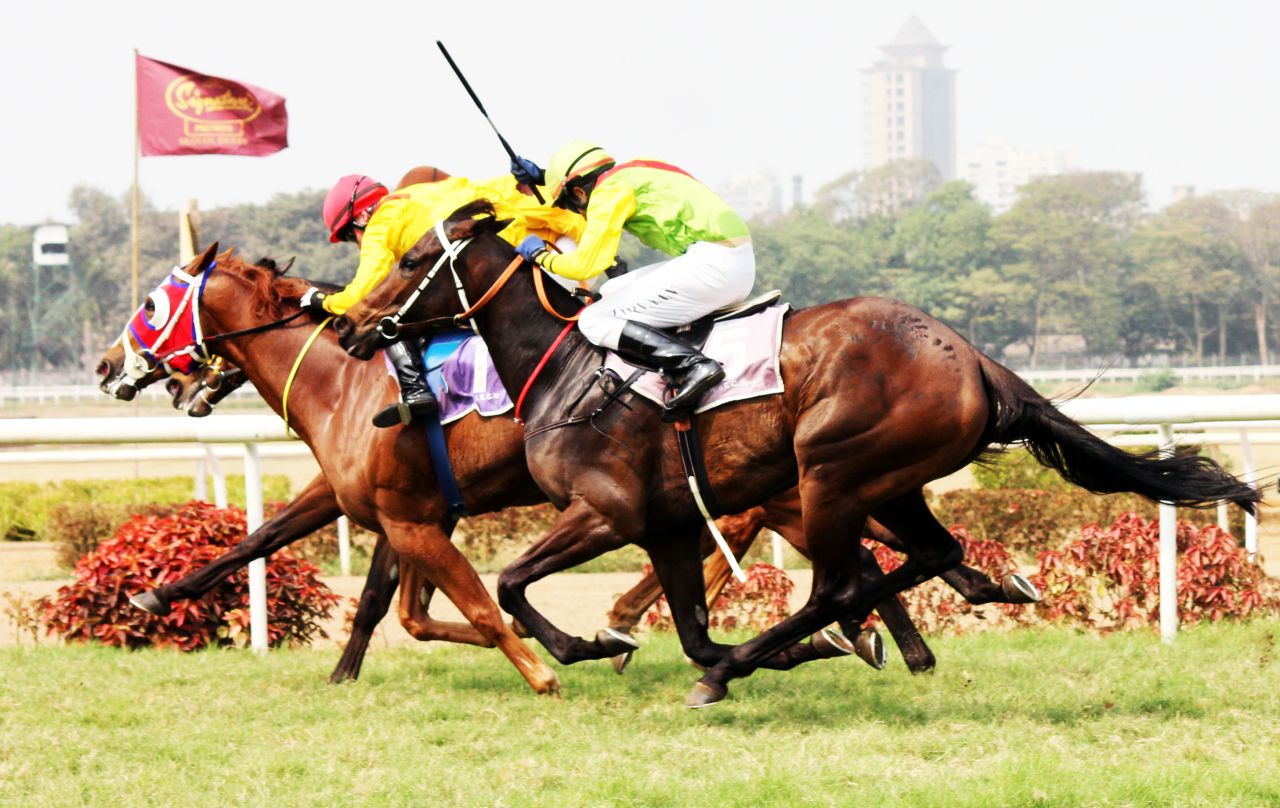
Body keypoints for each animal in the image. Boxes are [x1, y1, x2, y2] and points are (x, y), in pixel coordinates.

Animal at [330, 203, 1259, 706]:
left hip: (833, 472)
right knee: (926, 553)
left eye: (416, 259)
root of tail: (970, 356)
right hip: (887, 480)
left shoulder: (608, 511)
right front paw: (662, 647)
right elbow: (688, 626)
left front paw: (593, 649)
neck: (567, 367)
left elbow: (515, 584)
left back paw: (767, 659)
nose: (349, 327)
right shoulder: (668, 525)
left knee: (840, 583)